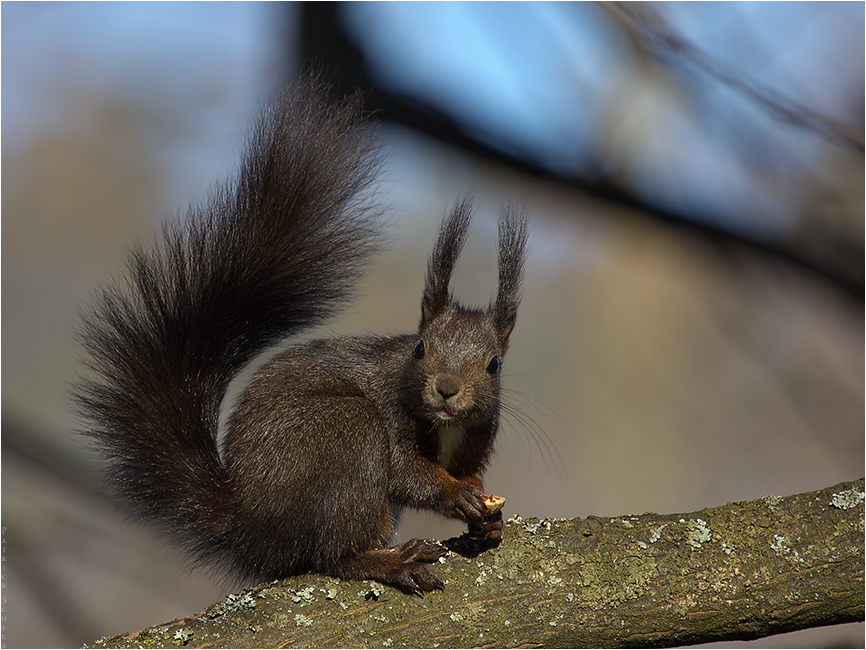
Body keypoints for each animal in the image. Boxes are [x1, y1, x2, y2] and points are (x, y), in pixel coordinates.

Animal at [74, 79, 528, 592]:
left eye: (494, 364)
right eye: (420, 347)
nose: (447, 389)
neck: (447, 424)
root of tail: (251, 526)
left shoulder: (478, 435)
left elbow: (471, 475)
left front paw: (485, 512)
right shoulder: (392, 418)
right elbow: (406, 472)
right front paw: (454, 495)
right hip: (344, 436)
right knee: (333, 553)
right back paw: (391, 562)